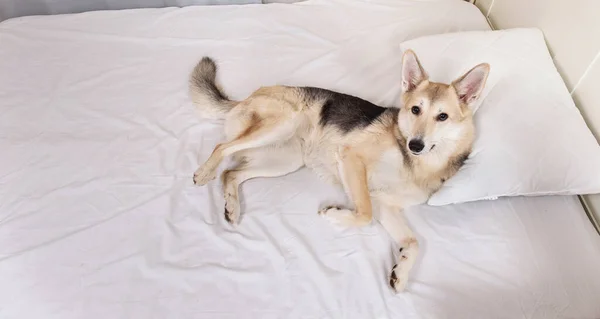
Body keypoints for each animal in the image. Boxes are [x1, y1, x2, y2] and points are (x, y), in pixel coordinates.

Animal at [190, 51, 490, 294]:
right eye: (416, 110)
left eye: (443, 117)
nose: (415, 145)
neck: (419, 164)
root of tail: (246, 98)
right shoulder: (351, 158)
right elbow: (364, 214)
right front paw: (334, 214)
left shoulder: (385, 204)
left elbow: (413, 242)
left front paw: (402, 273)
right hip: (282, 125)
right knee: (222, 147)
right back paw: (205, 172)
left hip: (286, 160)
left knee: (231, 174)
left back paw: (232, 206)